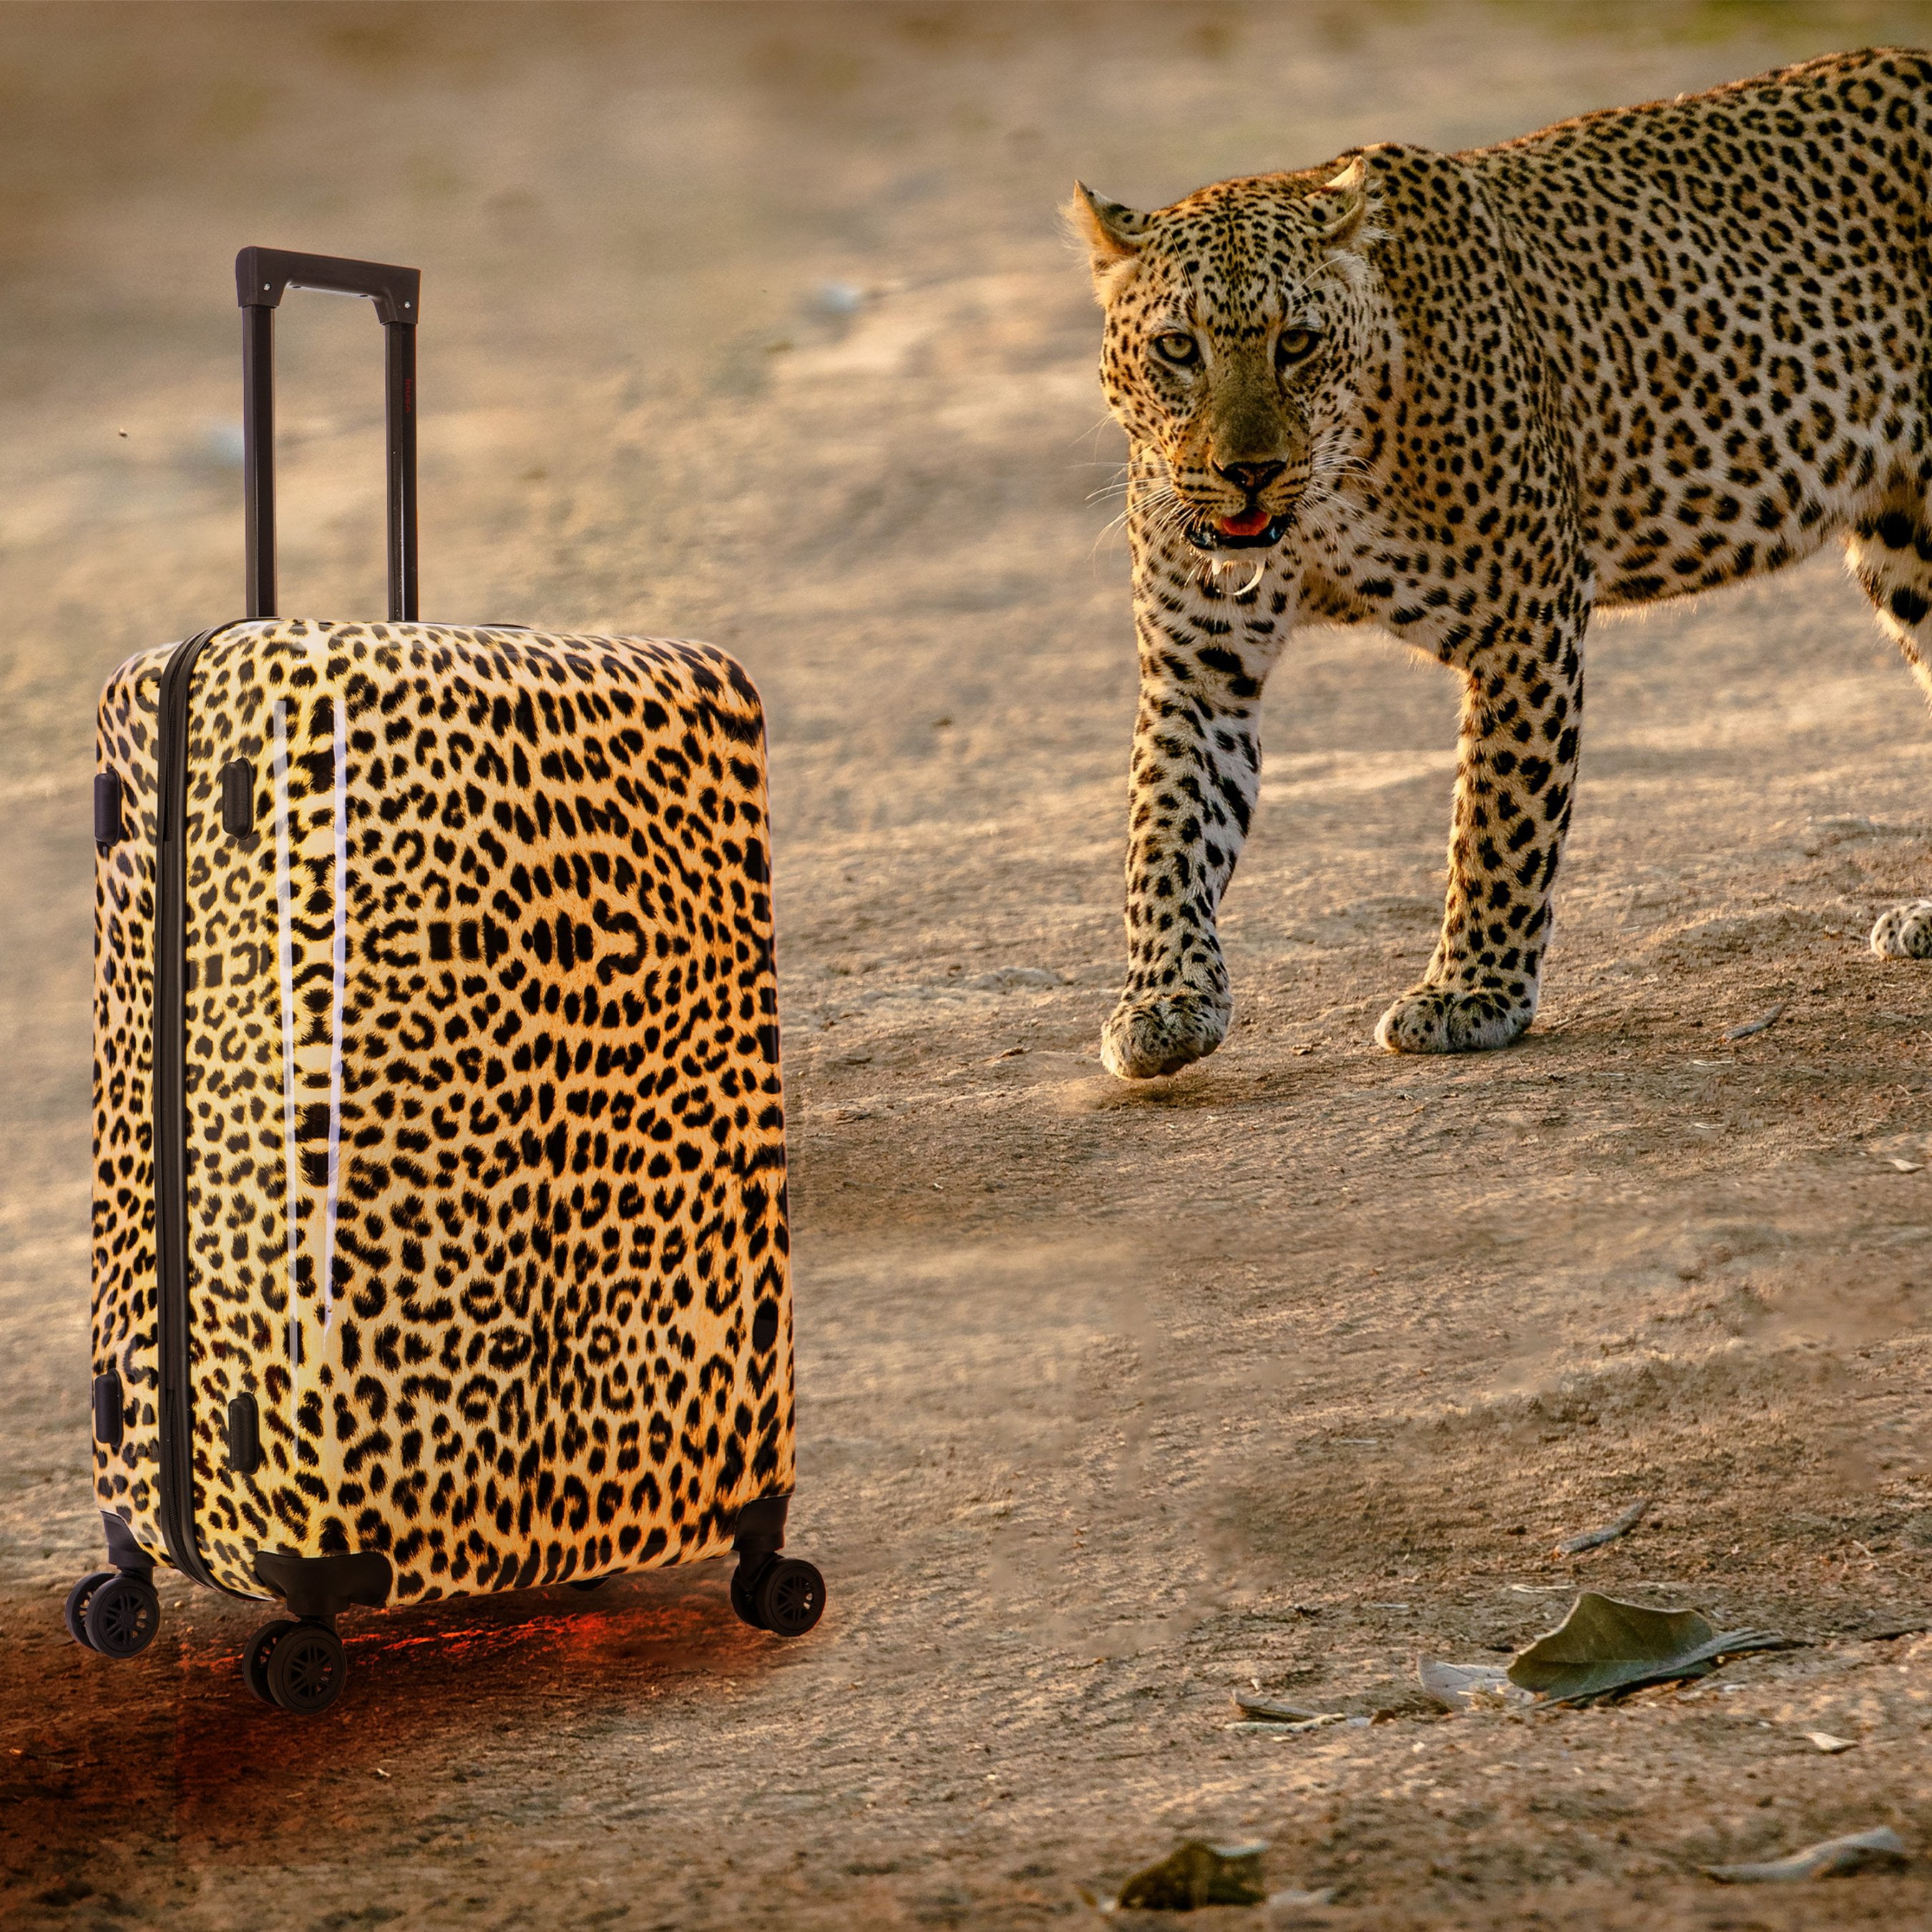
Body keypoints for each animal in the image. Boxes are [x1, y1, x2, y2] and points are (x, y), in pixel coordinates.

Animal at [1071, 46, 1932, 1079]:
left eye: (1297, 342)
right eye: (1177, 348)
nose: (1250, 472)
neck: (1329, 498)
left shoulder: (1527, 621)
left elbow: (1499, 818)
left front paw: (1469, 992)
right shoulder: (1198, 669)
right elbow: (1164, 835)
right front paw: (1164, 1001)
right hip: (1907, 542)